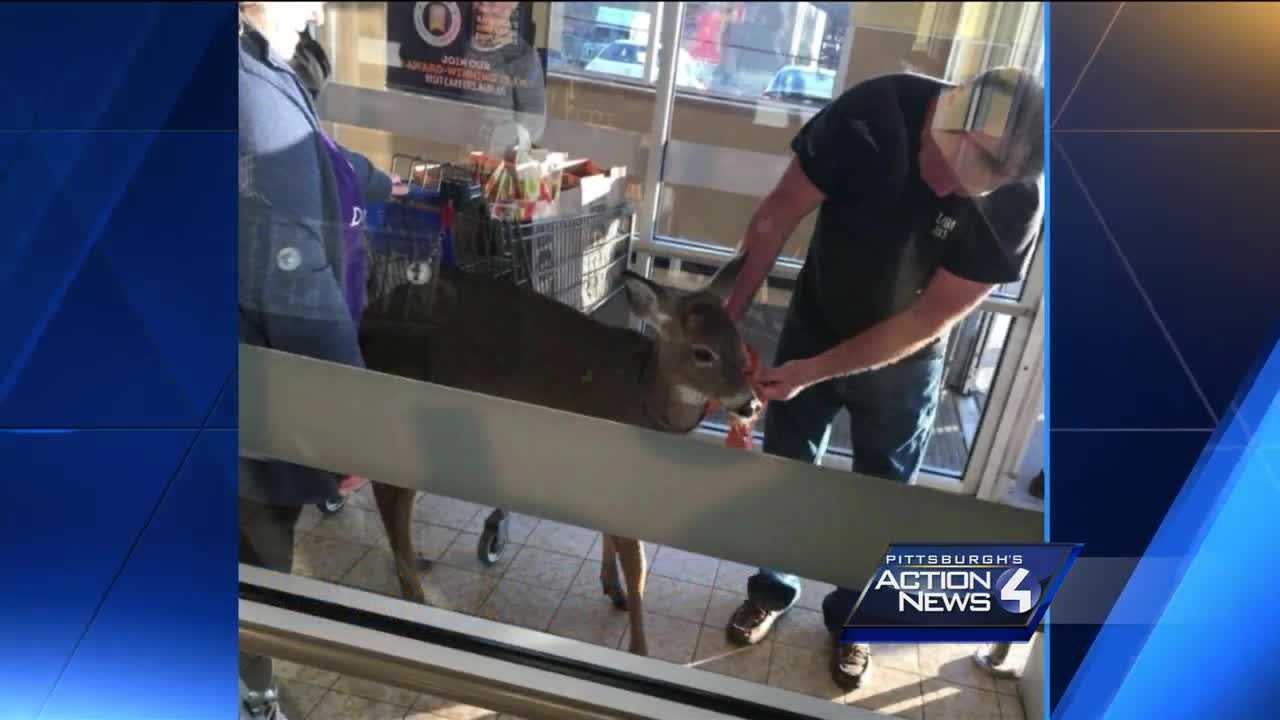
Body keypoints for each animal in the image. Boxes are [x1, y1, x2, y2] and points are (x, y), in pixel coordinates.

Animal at [355, 254, 757, 653]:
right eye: (703, 352)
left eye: (739, 343)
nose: (749, 404)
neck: (644, 398)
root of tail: (366, 319)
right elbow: (638, 566)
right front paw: (639, 648)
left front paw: (612, 589)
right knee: (389, 492)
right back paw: (414, 592)